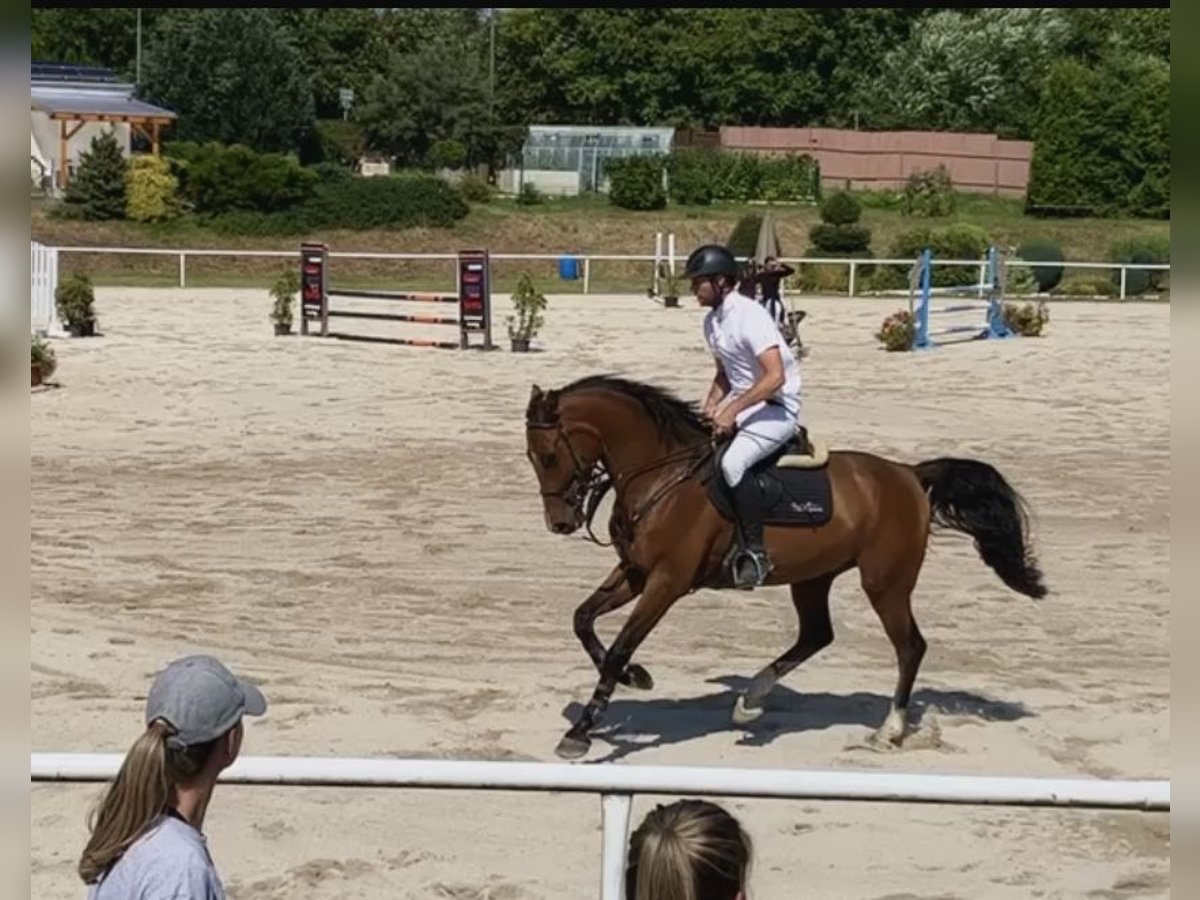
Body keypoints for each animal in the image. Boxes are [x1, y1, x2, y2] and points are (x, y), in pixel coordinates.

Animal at [520, 374, 1046, 763]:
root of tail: (909, 475)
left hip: (886, 583)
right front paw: (636, 678)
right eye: (532, 457)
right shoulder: (634, 572)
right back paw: (750, 702)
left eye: (548, 455)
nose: (560, 523)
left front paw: (582, 730)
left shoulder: (666, 583)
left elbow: (617, 648)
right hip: (813, 578)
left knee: (910, 646)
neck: (661, 475)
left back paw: (889, 731)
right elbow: (583, 620)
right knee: (817, 635)